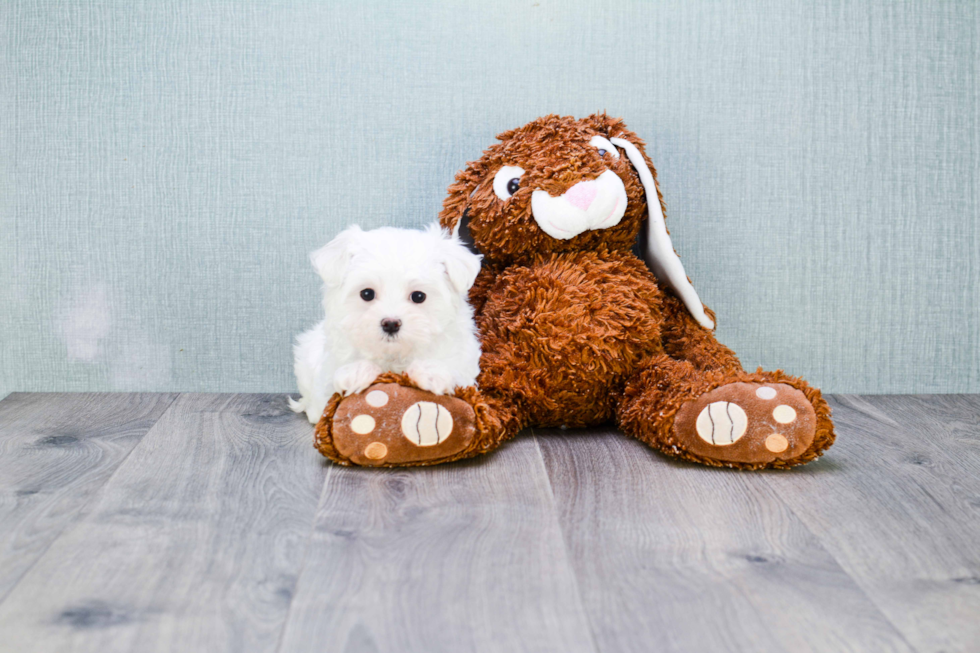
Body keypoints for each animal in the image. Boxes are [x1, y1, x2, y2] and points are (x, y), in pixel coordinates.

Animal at [288, 223, 482, 422]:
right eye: (367, 294)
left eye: (418, 296)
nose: (390, 323)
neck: (393, 355)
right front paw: (356, 372)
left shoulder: (463, 364)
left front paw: (431, 372)